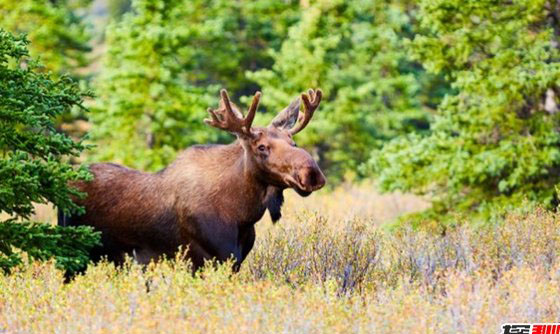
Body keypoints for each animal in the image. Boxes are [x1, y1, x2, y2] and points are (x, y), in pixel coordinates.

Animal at [59, 88, 326, 272]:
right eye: (261, 147)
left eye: (293, 142)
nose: (312, 173)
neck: (242, 214)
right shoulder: (203, 259)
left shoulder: (235, 261)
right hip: (74, 253)